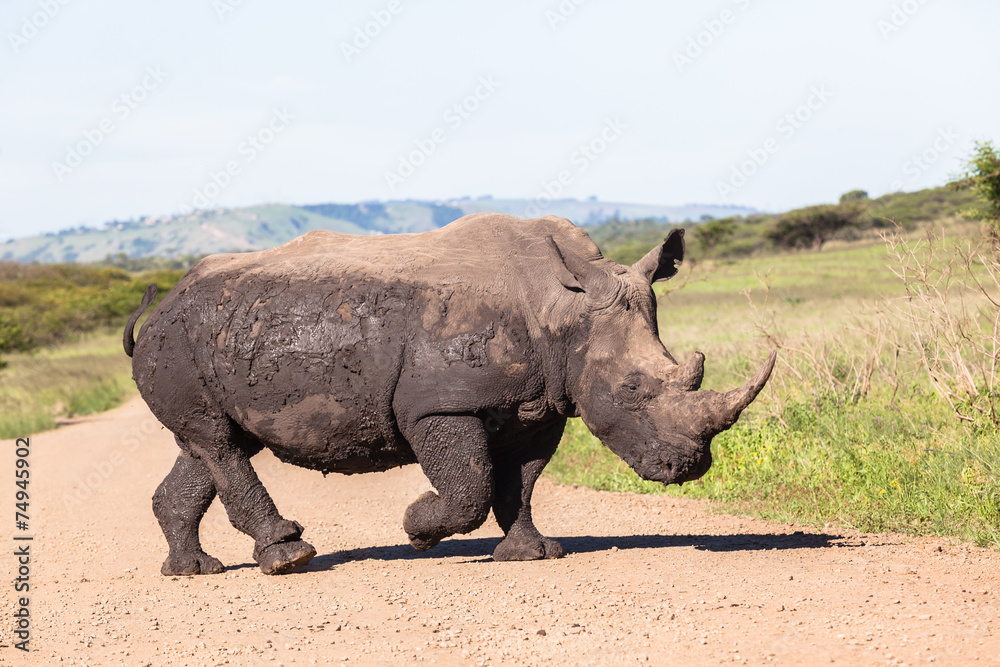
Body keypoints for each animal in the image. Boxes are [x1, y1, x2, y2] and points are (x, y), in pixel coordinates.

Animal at [124, 213, 774, 576]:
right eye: (632, 391)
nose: (689, 467)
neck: (560, 309)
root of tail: (163, 301)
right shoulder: (440, 404)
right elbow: (471, 487)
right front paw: (416, 529)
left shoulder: (541, 406)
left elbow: (520, 483)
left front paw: (532, 555)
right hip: (180, 340)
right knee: (218, 442)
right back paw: (289, 558)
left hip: (211, 336)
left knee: (211, 443)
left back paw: (192, 571)